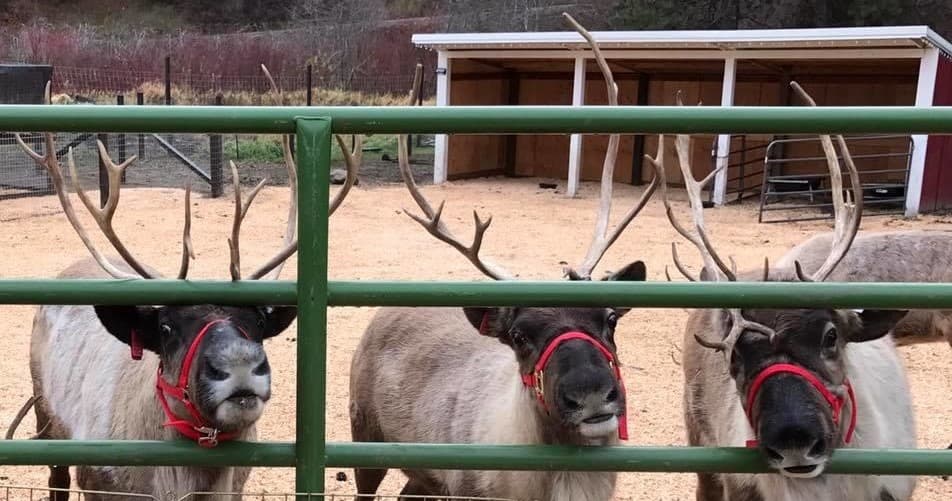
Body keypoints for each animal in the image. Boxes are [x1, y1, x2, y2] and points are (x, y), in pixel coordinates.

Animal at [8, 81, 358, 500]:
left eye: (258, 321)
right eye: (166, 327)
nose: (239, 363)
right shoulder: (97, 480)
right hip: (45, 409)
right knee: (55, 476)